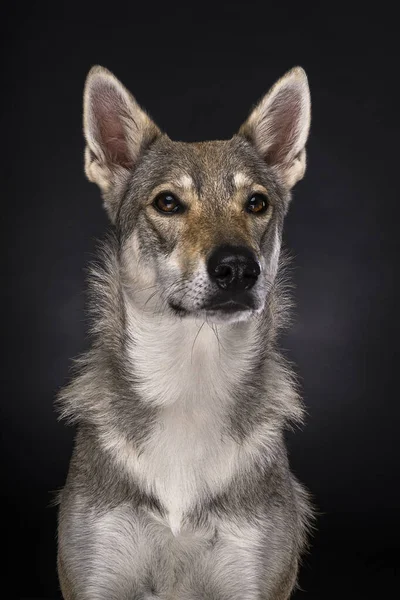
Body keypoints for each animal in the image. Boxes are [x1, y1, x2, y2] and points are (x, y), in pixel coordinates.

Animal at [56, 63, 312, 596]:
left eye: (257, 204)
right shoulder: (96, 579)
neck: (191, 384)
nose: (238, 268)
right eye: (168, 203)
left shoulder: (250, 580)